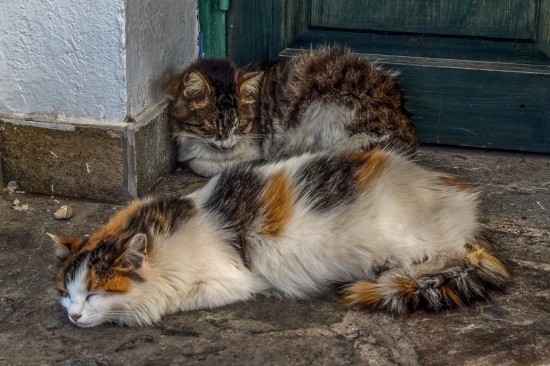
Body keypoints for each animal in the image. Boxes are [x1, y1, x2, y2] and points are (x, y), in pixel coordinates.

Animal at [49, 150, 512, 328]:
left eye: (93, 294)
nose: (73, 315)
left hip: (407, 243)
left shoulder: (231, 281)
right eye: (66, 294)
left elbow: (168, 299)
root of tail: (460, 199)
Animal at [166, 47, 416, 177]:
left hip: (323, 109)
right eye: (211, 126)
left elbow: (201, 163)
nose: (226, 144)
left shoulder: (254, 146)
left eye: (240, 125)